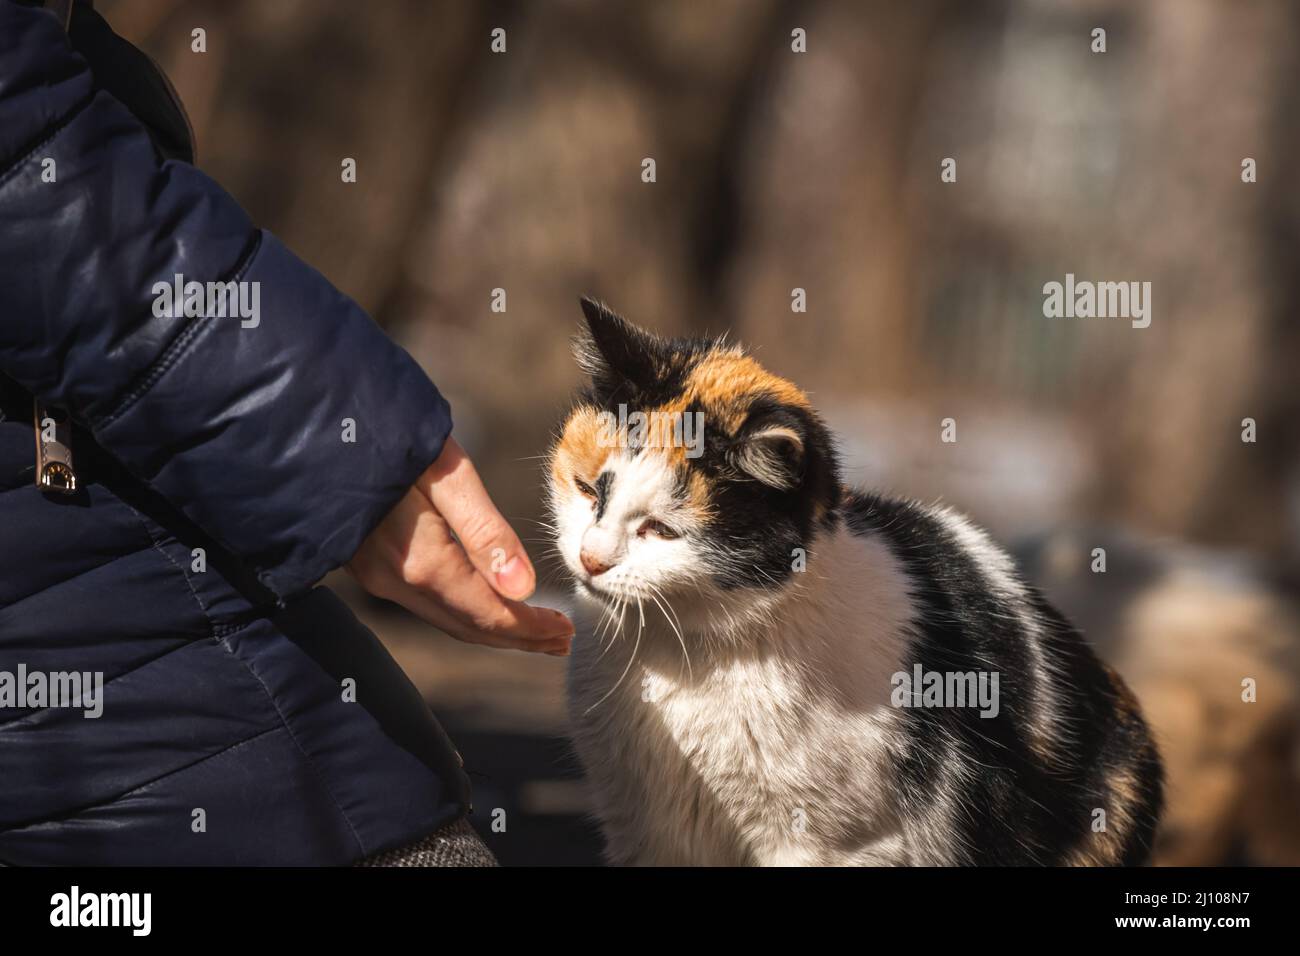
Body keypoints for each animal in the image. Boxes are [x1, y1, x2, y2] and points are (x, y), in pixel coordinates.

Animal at [553, 299, 1164, 868]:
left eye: (660, 529)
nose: (591, 557)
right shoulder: (643, 831)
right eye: (589, 491)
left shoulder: (834, 844)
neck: (677, 648)